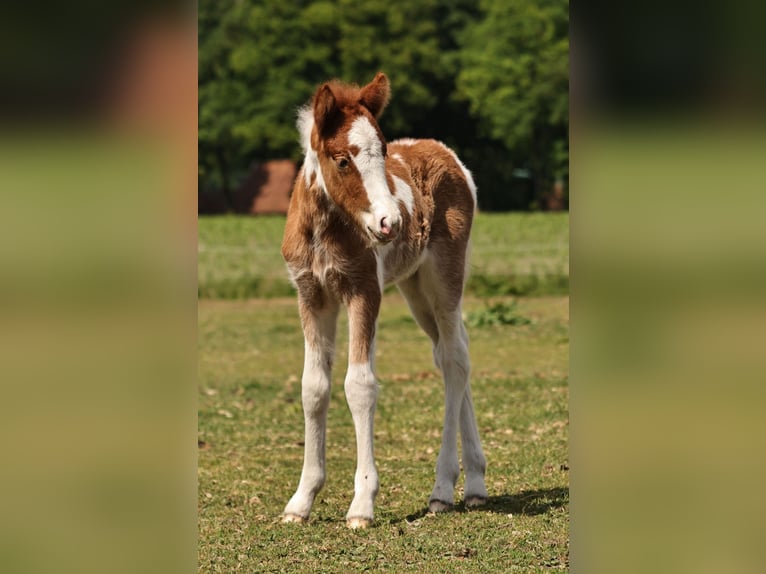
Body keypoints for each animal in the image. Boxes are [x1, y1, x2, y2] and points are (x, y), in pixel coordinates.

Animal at [280, 72, 487, 529]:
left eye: (384, 152)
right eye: (342, 160)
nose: (390, 221)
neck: (325, 231)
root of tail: (448, 155)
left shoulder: (364, 290)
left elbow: (359, 385)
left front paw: (362, 504)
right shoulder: (311, 295)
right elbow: (313, 387)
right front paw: (301, 501)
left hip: (444, 278)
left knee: (455, 360)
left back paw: (443, 489)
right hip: (415, 290)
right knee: (451, 353)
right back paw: (476, 485)